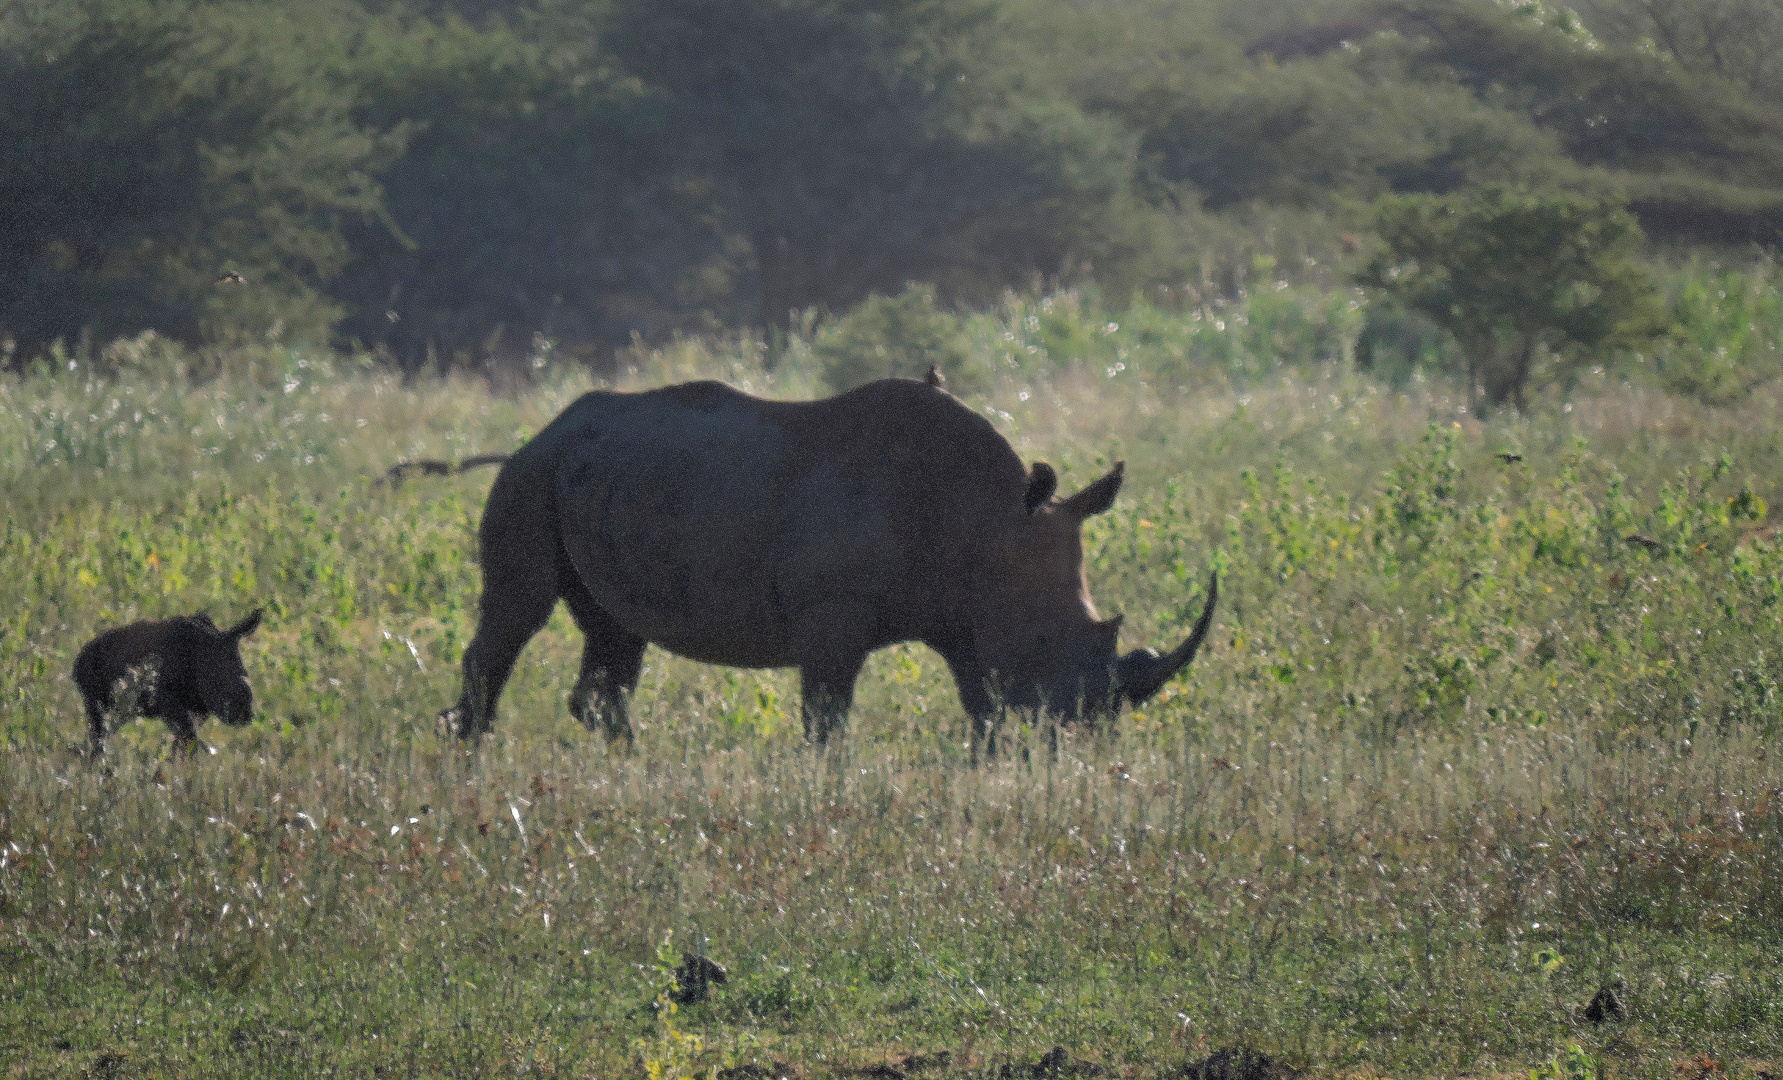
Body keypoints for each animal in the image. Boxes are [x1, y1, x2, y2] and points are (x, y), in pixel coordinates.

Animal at [76, 613, 262, 759]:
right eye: (214, 678)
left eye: (245, 671)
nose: (243, 713)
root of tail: (77, 662)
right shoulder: (165, 700)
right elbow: (188, 739)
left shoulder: (198, 709)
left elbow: (184, 742)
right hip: (95, 701)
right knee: (98, 736)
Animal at [440, 379, 1219, 744]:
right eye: (1041, 640)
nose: (1074, 734)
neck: (990, 519)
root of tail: (542, 431)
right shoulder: (829, 619)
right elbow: (827, 718)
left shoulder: (966, 617)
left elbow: (982, 709)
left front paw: (993, 768)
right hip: (529, 481)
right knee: (518, 613)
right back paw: (472, 762)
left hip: (595, 481)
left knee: (613, 636)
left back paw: (632, 763)